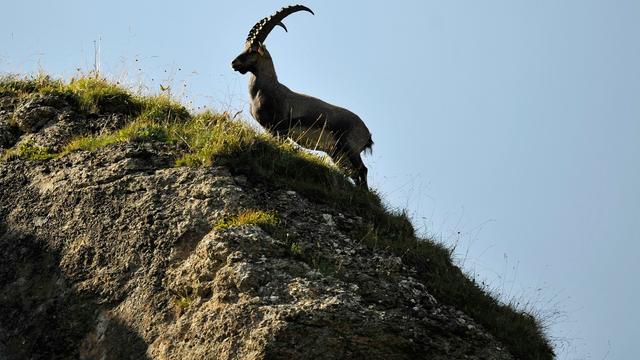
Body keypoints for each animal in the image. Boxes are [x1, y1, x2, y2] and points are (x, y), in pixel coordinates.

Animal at [231, 4, 372, 187]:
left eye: (253, 51)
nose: (234, 63)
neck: (264, 90)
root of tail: (368, 134)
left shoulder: (280, 129)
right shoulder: (270, 129)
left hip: (350, 148)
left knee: (363, 170)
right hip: (337, 154)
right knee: (355, 174)